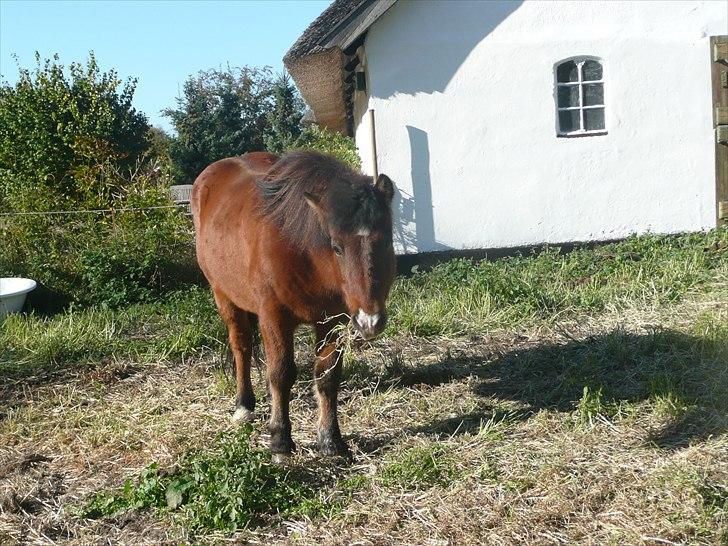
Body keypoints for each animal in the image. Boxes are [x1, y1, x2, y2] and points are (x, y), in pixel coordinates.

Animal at [191, 150, 396, 460]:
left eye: (386, 241)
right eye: (336, 246)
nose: (369, 321)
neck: (301, 249)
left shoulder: (331, 321)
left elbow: (327, 375)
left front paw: (330, 440)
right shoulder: (274, 318)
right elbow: (281, 374)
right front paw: (280, 440)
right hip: (223, 296)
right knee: (241, 347)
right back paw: (244, 405)